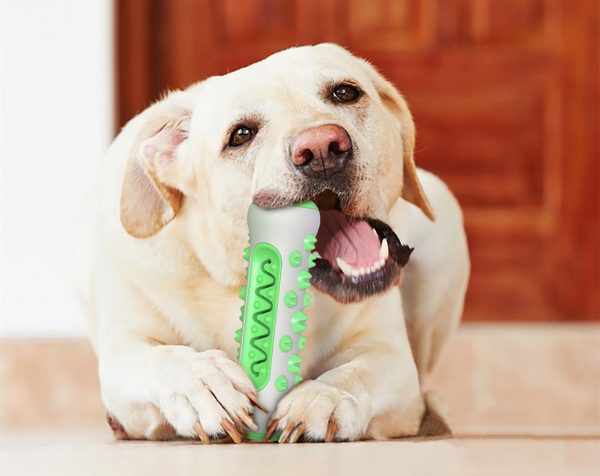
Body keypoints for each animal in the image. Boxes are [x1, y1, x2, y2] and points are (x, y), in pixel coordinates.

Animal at [74, 43, 468, 442]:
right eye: (240, 134)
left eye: (345, 92)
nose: (321, 148)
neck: (233, 279)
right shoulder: (123, 349)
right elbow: (162, 357)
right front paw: (204, 383)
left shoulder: (389, 355)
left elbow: (355, 373)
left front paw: (323, 398)